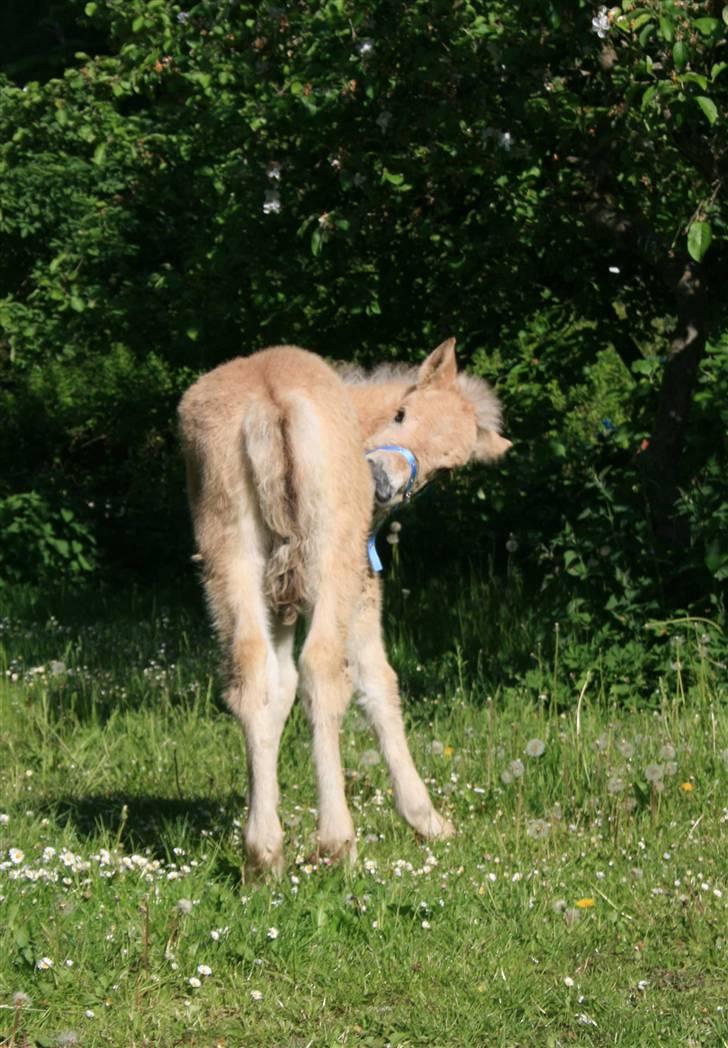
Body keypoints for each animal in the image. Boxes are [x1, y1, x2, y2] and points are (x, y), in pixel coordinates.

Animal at [179, 339, 509, 871]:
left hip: (230, 551)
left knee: (250, 672)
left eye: (446, 469)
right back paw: (337, 841)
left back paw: (262, 856)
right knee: (323, 670)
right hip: (330, 553)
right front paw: (428, 820)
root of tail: (271, 399)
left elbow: (278, 689)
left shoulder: (280, 598)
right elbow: (378, 682)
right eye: (401, 413)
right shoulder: (360, 580)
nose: (381, 483)